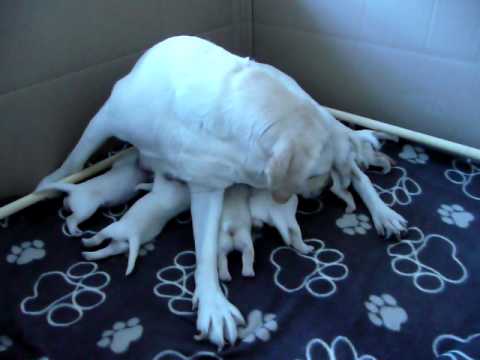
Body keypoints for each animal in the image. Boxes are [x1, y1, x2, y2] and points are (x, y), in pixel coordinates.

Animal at [35, 35, 406, 346]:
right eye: (315, 171)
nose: (324, 185)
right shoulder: (109, 116)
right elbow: (76, 156)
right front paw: (47, 183)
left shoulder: (206, 188)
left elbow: (205, 250)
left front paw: (212, 305)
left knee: (357, 173)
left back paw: (383, 212)